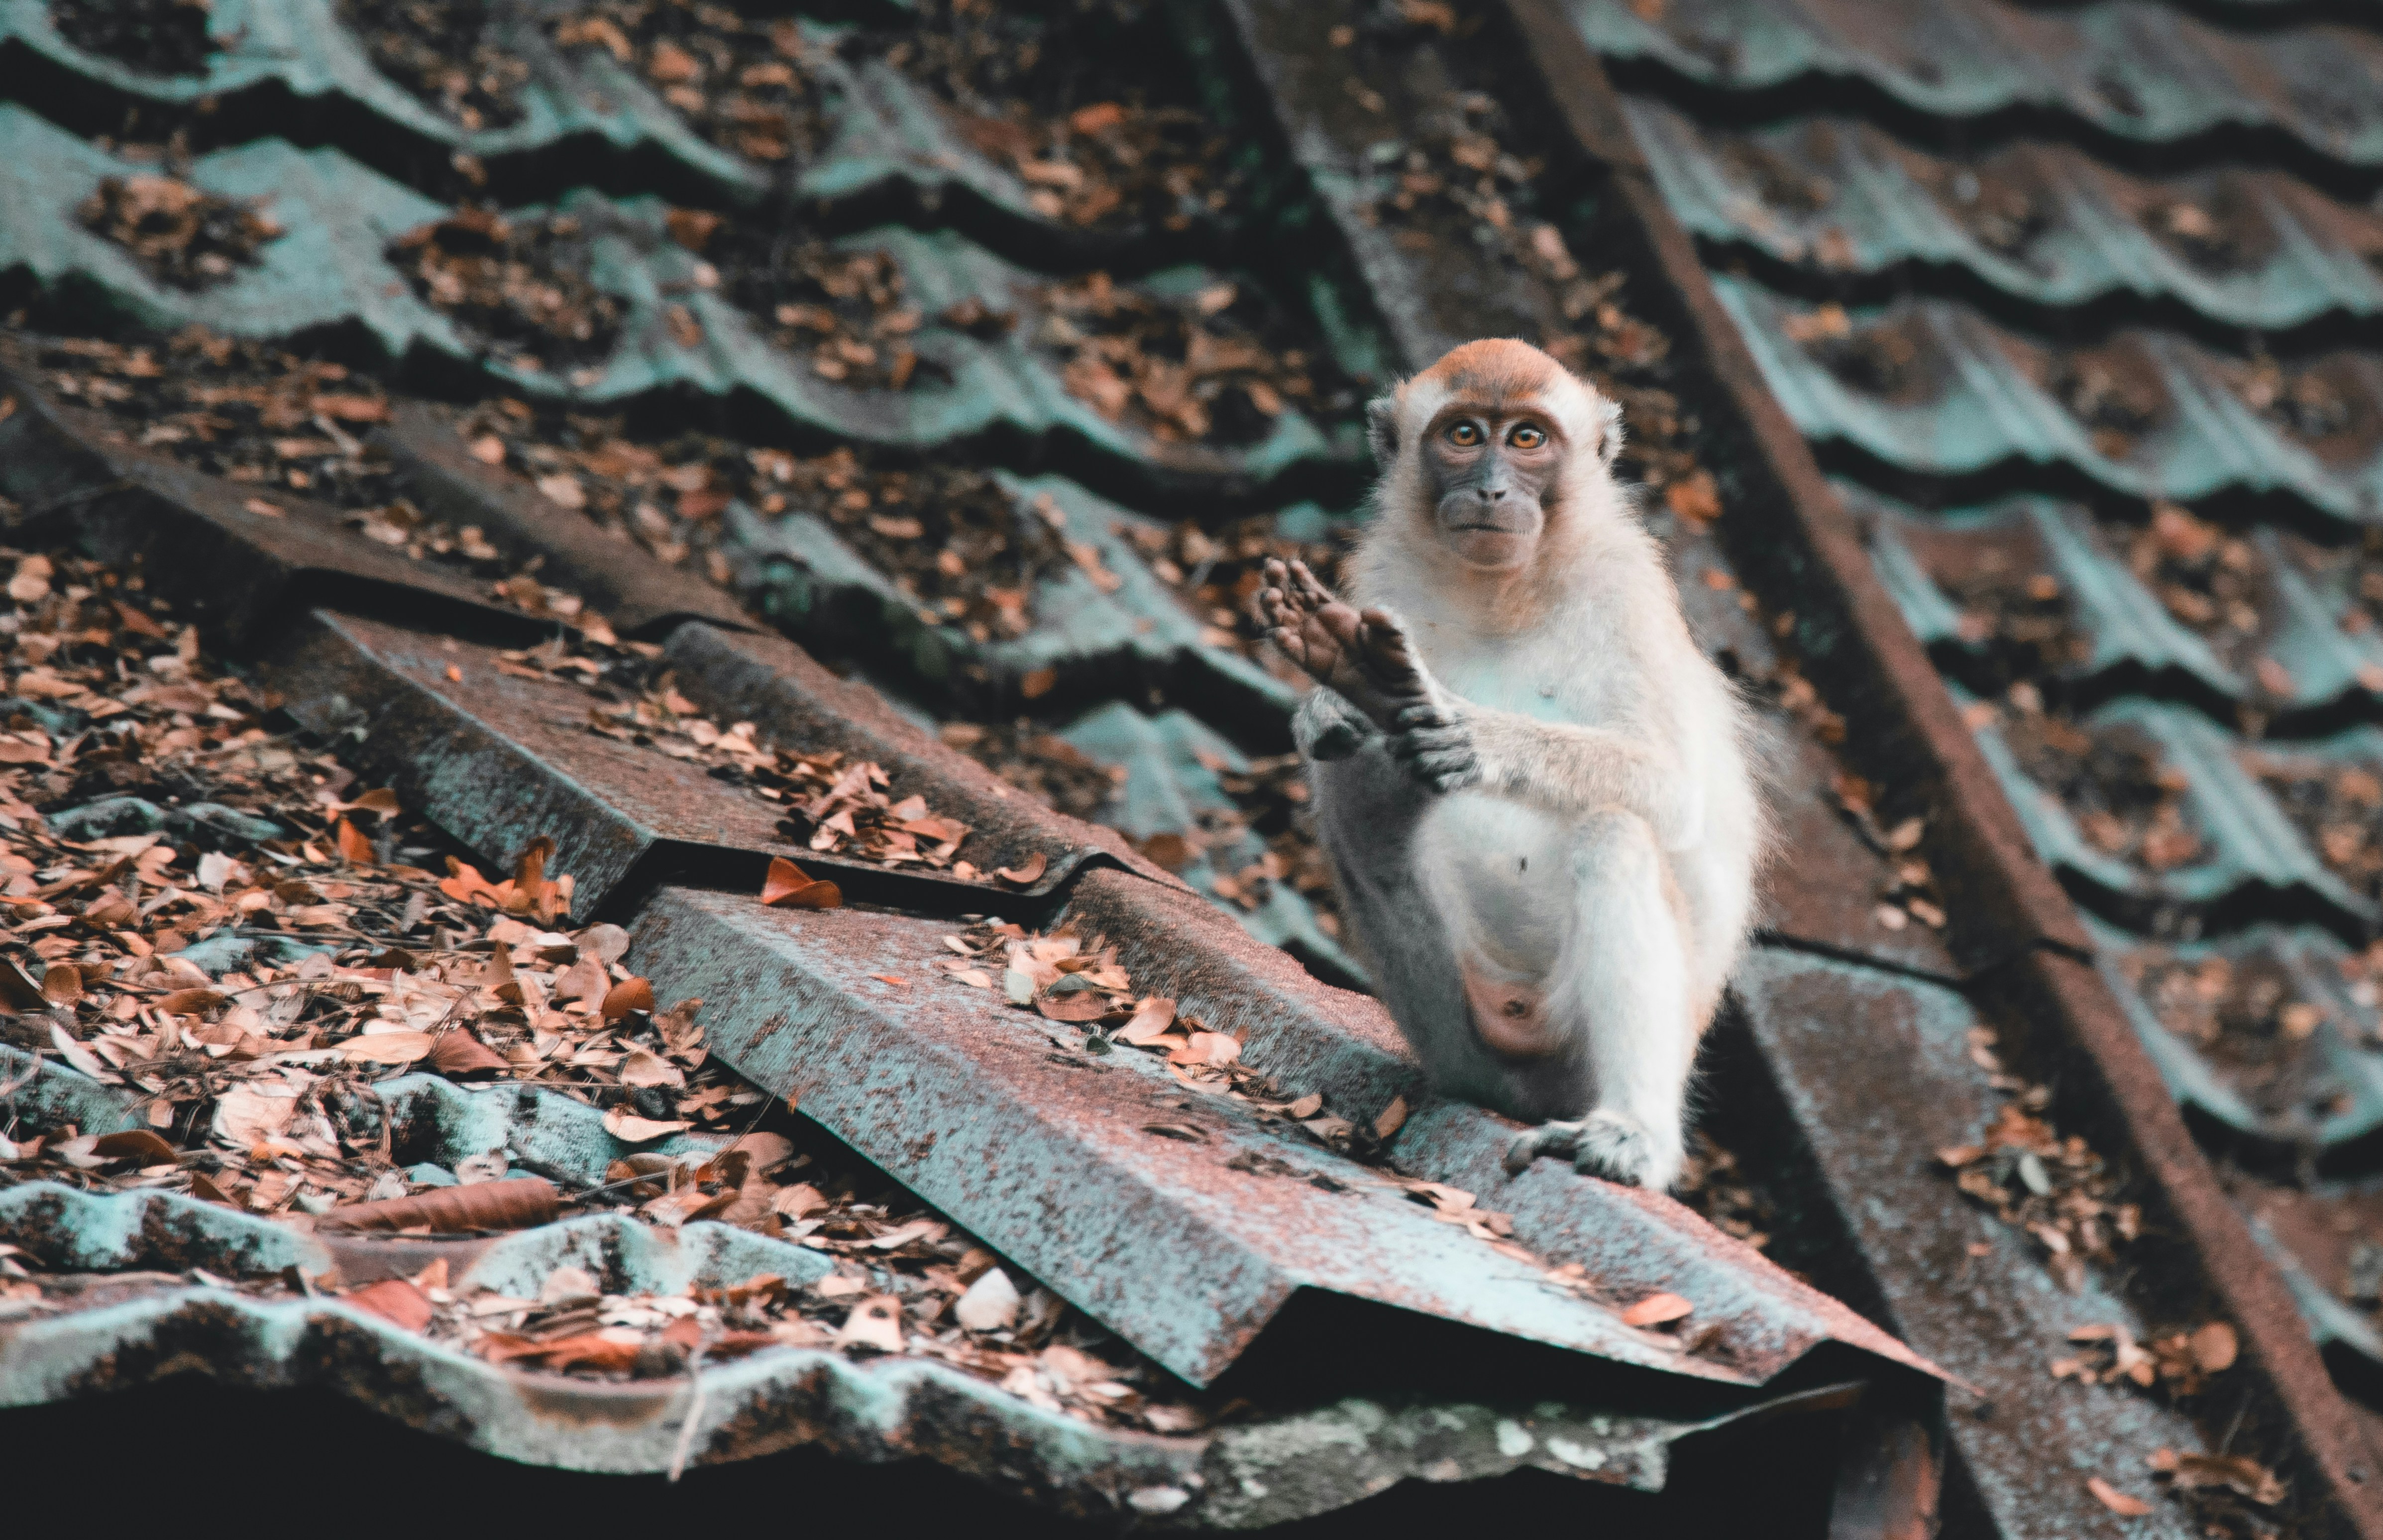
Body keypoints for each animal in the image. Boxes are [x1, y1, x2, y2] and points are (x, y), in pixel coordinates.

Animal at [1255, 338, 1765, 1191]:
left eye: (1527, 439)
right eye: (1464, 435)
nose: (1492, 487)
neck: (1504, 591)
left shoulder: (1627, 586)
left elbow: (1672, 789)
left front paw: (1469, 733)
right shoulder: (1385, 575)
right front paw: (1343, 701)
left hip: (1573, 1049)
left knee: (1615, 837)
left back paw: (1633, 1132)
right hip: (1453, 1029)